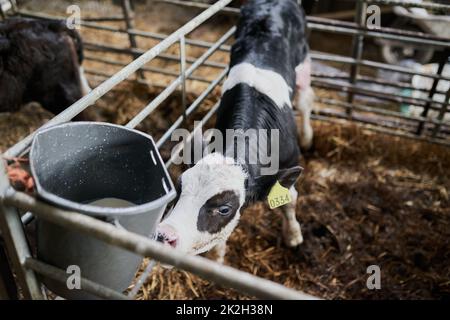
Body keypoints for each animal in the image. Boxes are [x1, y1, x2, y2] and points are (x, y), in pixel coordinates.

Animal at [156, 0, 314, 260]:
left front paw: (293, 236)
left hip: (303, 62)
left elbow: (289, 200)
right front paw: (216, 258)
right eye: (179, 188)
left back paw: (308, 137)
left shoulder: (289, 164)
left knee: (304, 99)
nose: (164, 235)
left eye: (224, 208)